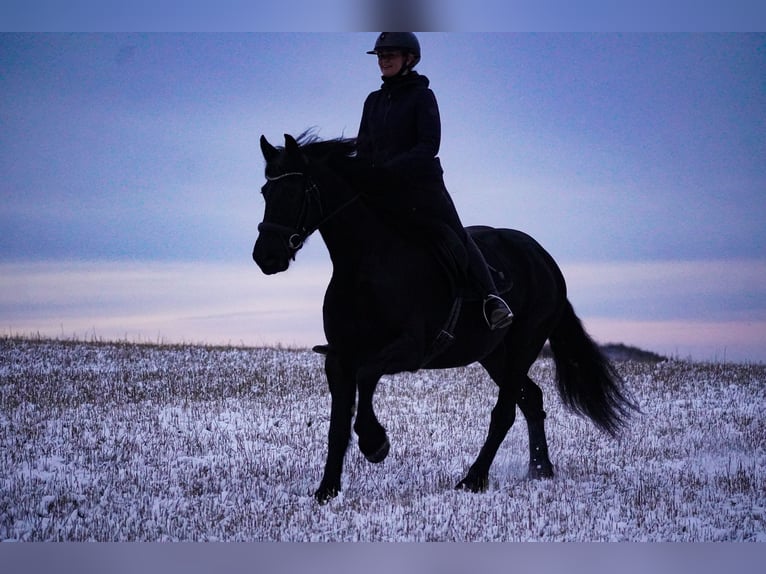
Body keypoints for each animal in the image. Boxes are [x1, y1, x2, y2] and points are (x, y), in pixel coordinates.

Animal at [252, 134, 636, 504]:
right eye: (265, 192)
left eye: (293, 191)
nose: (264, 257)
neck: (364, 266)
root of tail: (544, 258)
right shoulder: (338, 358)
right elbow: (337, 426)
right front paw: (326, 491)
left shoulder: (407, 350)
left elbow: (366, 377)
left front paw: (376, 444)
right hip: (493, 355)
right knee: (532, 400)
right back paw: (539, 469)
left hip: (523, 346)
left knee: (506, 412)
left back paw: (474, 479)